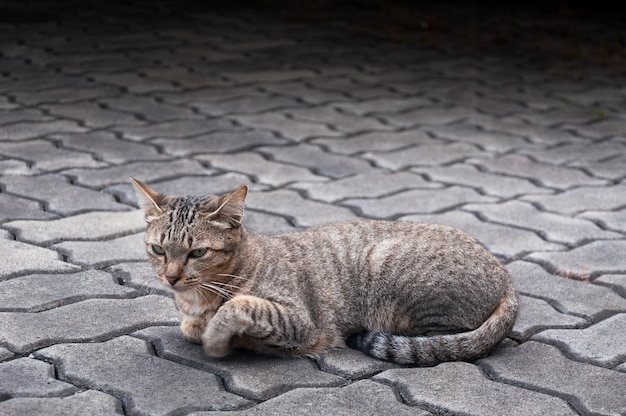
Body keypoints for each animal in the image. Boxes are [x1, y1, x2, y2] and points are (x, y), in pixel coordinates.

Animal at [129, 179, 516, 364]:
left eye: (197, 252)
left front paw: (220, 334)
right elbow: (192, 326)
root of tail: (507, 276)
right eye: (159, 249)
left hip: (390, 269)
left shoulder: (301, 321)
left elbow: (239, 307)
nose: (171, 277)